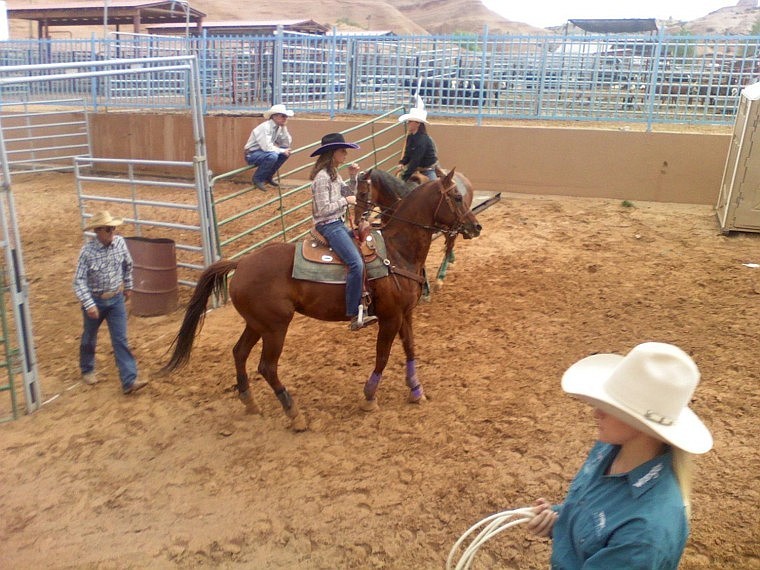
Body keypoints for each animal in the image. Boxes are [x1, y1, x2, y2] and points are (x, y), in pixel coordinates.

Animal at [162, 171, 480, 428]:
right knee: (267, 367)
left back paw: (250, 402)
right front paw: (369, 397)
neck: (396, 250)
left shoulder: (405, 314)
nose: (476, 227)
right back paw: (294, 414)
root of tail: (241, 263)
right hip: (275, 327)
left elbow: (411, 349)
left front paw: (416, 390)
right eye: (456, 197)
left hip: (257, 324)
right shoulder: (389, 317)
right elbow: (383, 356)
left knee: (239, 353)